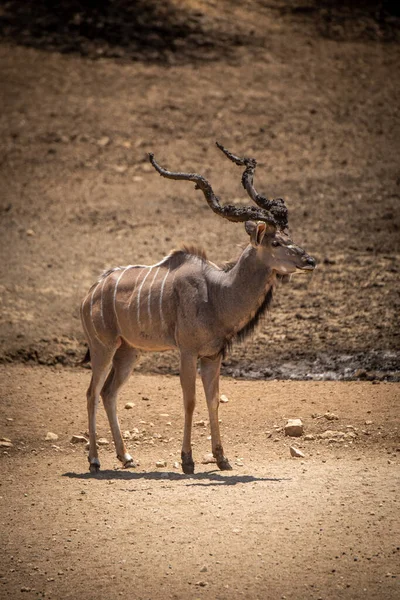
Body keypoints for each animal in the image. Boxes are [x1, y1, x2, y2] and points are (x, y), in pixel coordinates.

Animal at [79, 142, 314, 474]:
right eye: (276, 242)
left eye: (289, 237)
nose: (310, 260)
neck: (217, 293)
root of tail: (91, 293)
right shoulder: (188, 352)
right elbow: (190, 401)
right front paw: (187, 460)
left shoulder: (213, 356)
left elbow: (212, 400)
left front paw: (222, 458)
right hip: (104, 347)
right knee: (91, 393)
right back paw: (95, 460)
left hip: (129, 352)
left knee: (108, 392)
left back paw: (126, 457)